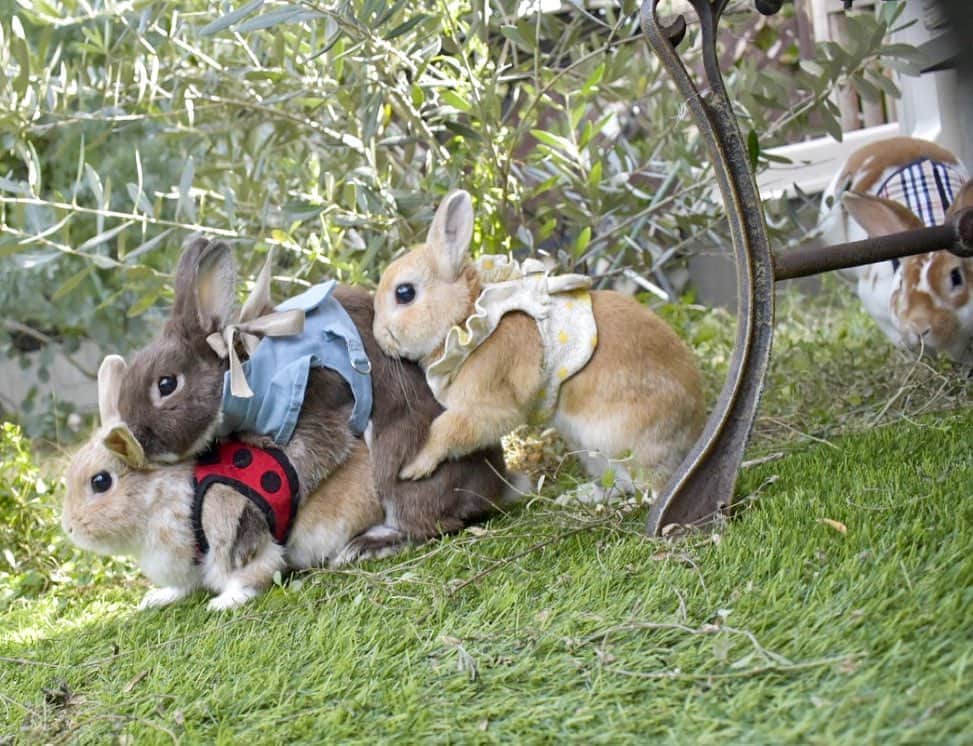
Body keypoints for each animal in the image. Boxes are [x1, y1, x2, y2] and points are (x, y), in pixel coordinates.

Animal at [62, 355, 384, 611]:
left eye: (100, 481)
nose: (69, 529)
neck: (159, 501)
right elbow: (181, 588)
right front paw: (155, 599)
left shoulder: (238, 546)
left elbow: (251, 576)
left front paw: (222, 604)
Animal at [113, 238, 509, 560]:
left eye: (166, 384)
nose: (137, 442)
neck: (241, 368)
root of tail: (494, 486)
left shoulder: (317, 408)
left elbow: (299, 469)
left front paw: (246, 538)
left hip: (398, 461)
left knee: (432, 523)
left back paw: (368, 544)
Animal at [372, 190, 706, 500]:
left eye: (404, 293)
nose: (379, 337)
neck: (466, 318)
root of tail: (693, 429)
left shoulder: (486, 408)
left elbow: (445, 431)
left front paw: (413, 468)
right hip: (593, 452)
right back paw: (580, 497)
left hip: (622, 445)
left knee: (651, 488)